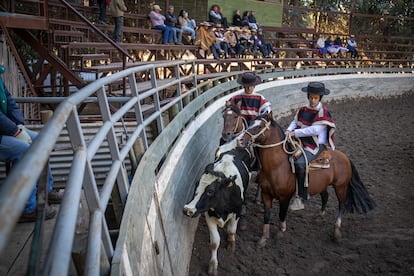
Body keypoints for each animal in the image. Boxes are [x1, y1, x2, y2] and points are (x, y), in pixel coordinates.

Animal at [184, 148, 249, 276]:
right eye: (196, 184)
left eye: (210, 191)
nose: (188, 209)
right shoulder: (209, 216)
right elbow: (215, 242)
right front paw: (213, 266)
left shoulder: (236, 213)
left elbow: (231, 230)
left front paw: (231, 244)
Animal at [236, 113, 376, 247]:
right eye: (250, 123)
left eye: (259, 126)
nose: (240, 140)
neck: (277, 166)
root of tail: (345, 157)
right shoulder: (266, 195)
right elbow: (266, 216)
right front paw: (263, 238)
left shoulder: (284, 197)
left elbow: (282, 214)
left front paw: (281, 232)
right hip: (322, 185)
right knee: (325, 196)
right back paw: (320, 217)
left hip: (341, 186)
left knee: (341, 205)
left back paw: (336, 232)